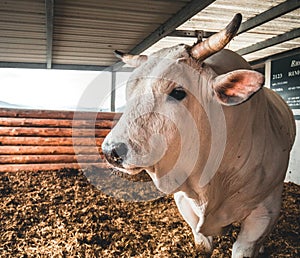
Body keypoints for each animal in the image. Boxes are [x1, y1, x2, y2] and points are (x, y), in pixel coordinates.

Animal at [102, 14, 296, 258]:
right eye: (130, 92)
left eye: (178, 92)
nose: (111, 151)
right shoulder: (184, 201)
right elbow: (203, 243)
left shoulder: (265, 208)